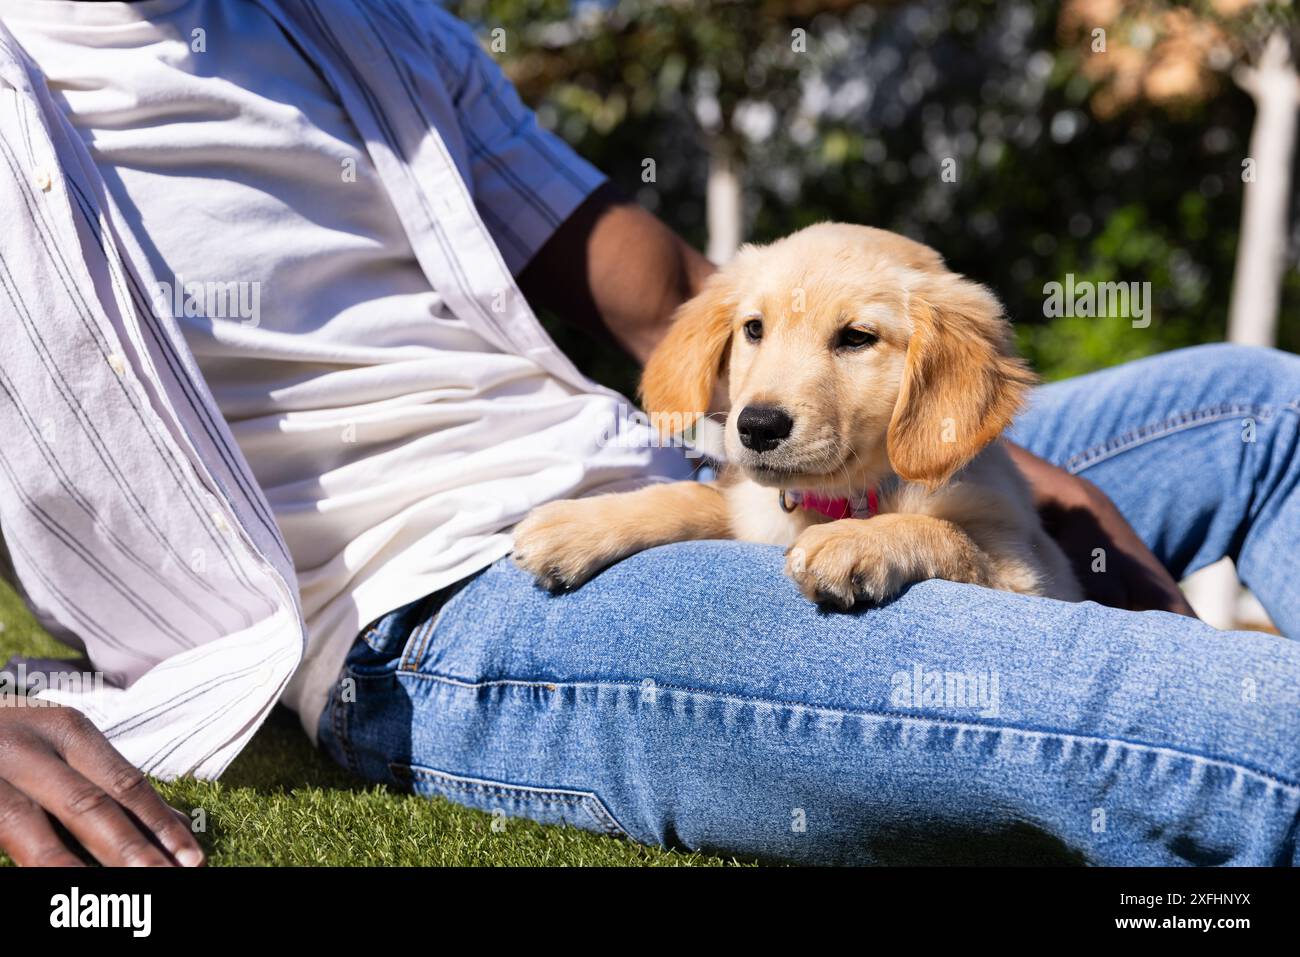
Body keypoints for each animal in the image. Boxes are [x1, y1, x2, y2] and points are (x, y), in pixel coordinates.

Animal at [512, 223, 1081, 605]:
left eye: (857, 338)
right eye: (754, 329)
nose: (758, 426)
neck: (836, 500)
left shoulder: (1030, 577)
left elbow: (949, 535)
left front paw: (857, 540)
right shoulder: (746, 510)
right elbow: (692, 497)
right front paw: (579, 522)